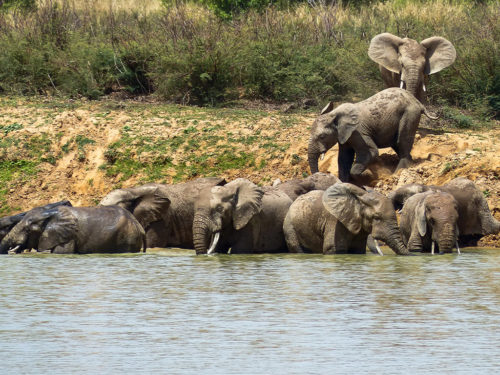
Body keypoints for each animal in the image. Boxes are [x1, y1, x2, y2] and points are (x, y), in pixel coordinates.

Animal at [308, 88, 438, 182]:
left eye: (322, 137)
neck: (333, 114)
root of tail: (418, 103)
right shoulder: (344, 135)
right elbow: (344, 158)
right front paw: (345, 183)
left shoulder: (358, 132)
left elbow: (371, 151)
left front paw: (367, 178)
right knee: (397, 144)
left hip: (410, 114)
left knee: (402, 140)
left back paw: (399, 171)